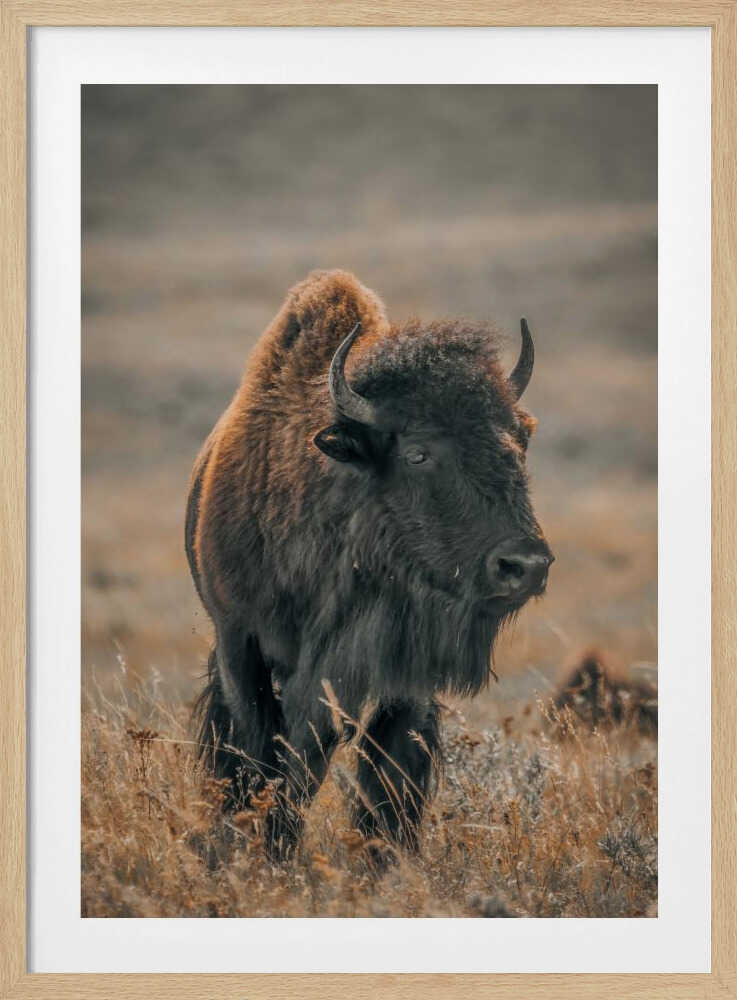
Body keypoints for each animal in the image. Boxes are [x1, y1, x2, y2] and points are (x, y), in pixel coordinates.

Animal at [186, 270, 552, 859]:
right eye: (418, 453)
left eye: (519, 442)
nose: (525, 565)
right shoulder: (240, 642)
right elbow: (264, 752)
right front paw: (263, 848)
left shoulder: (403, 675)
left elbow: (388, 772)